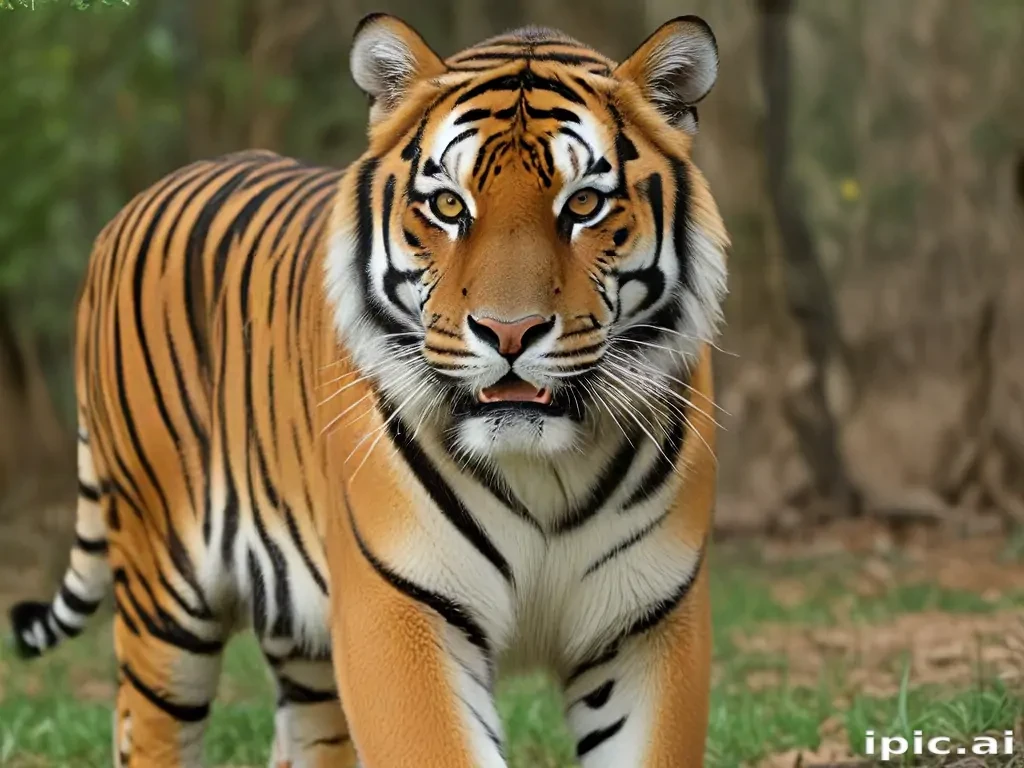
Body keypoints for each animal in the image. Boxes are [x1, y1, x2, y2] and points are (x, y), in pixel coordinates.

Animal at [8, 11, 728, 768]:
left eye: (583, 203)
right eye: (448, 205)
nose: (509, 332)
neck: (545, 469)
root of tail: (133, 206)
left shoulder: (647, 624)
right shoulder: (399, 611)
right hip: (163, 595)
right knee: (147, 728)